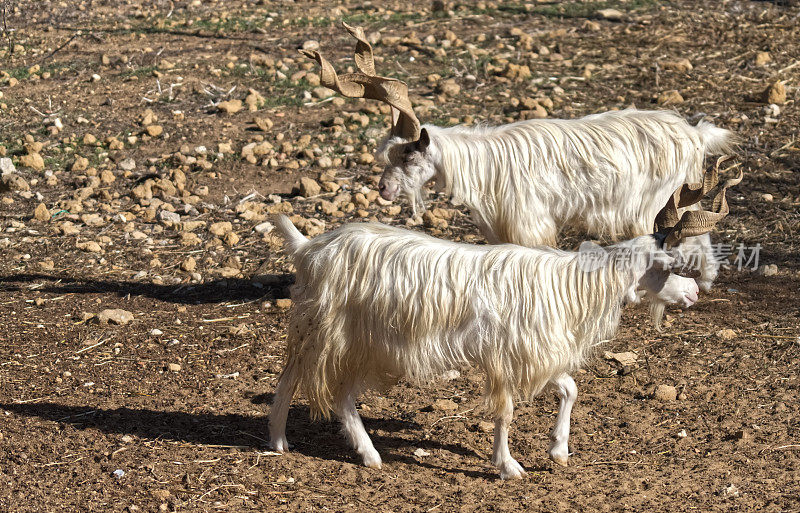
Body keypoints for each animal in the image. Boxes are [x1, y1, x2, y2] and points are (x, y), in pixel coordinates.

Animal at [270, 170, 744, 478]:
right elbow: (506, 411)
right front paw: (510, 466)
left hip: (362, 343)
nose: (694, 293)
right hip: (328, 331)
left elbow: (570, 388)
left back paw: (361, 453)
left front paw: (558, 450)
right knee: (299, 380)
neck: (573, 284)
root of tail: (309, 248)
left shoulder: (540, 351)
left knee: (337, 392)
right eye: (668, 263)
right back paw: (282, 443)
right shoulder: (505, 355)